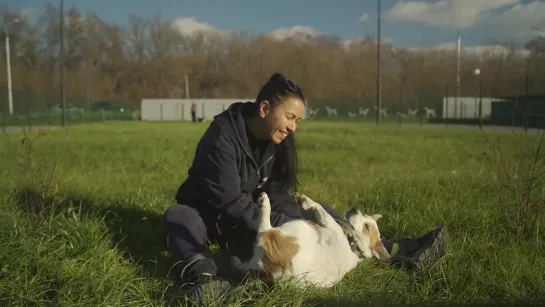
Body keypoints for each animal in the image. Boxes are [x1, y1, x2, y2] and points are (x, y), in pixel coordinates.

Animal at [230, 191, 392, 290]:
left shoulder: (328, 221)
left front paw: (304, 200)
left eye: (366, 227)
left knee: (263, 222)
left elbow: (318, 207)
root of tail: (265, 269)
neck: (352, 245)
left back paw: (264, 201)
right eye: (364, 215)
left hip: (277, 232)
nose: (354, 209)